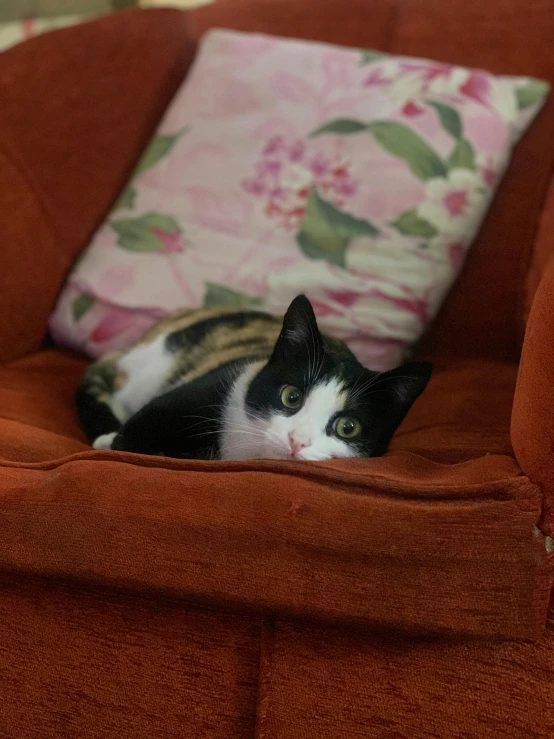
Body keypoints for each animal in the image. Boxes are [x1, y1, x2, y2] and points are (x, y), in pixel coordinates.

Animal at [76, 296, 432, 462]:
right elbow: (131, 437)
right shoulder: (213, 386)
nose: (297, 441)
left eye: (348, 427)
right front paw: (112, 440)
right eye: (291, 397)